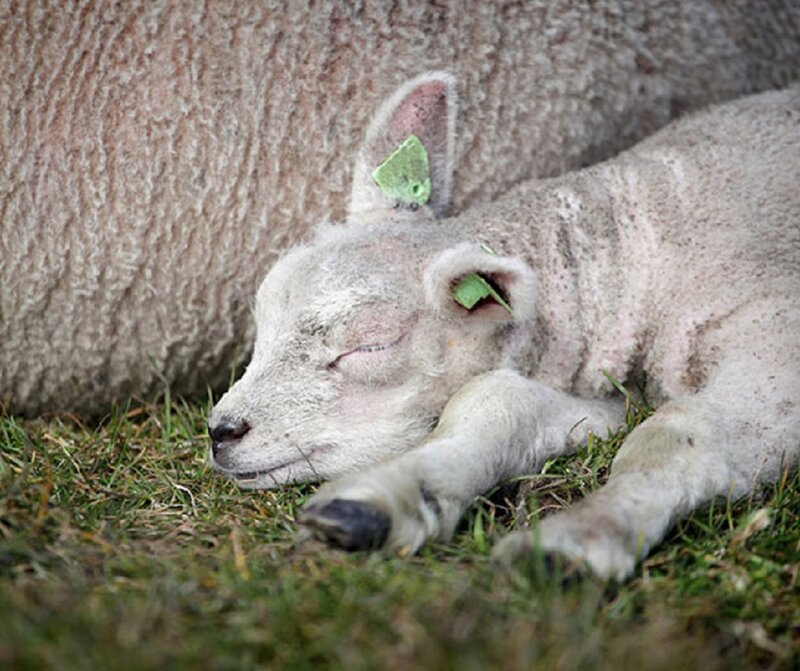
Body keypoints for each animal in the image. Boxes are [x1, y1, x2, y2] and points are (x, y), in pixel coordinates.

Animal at [206, 72, 799, 580]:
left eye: (369, 346)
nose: (221, 431)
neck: (637, 246)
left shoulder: (775, 346)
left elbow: (675, 435)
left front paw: (583, 537)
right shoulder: (607, 395)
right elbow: (496, 401)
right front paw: (380, 500)